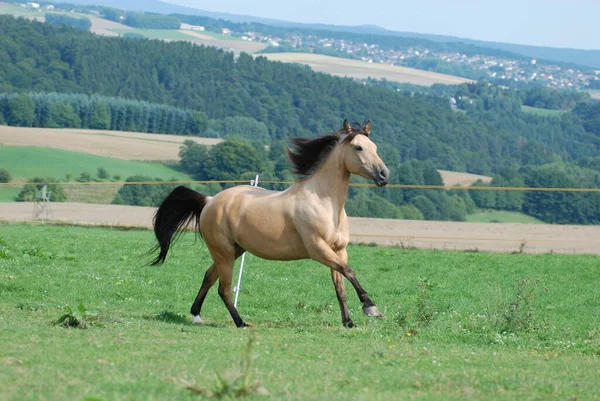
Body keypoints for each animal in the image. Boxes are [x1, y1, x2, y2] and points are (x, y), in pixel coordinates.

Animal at [151, 119, 390, 328]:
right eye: (358, 147)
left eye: (375, 147)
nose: (384, 174)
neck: (325, 203)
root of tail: (209, 201)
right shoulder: (318, 250)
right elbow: (350, 272)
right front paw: (371, 308)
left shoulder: (339, 251)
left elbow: (340, 287)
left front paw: (349, 322)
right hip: (223, 252)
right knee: (224, 289)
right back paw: (241, 323)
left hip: (234, 250)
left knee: (209, 277)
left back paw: (196, 315)